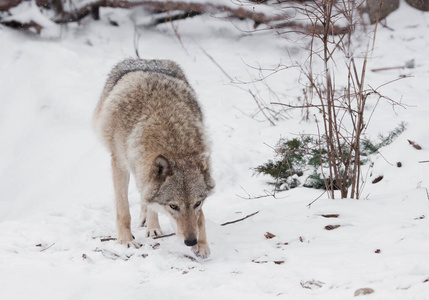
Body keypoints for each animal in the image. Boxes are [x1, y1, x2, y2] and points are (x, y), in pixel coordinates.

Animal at [93, 58, 214, 258]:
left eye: (197, 203)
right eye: (173, 206)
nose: (191, 241)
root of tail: (144, 59)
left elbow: (201, 217)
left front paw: (203, 244)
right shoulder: (119, 163)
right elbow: (123, 211)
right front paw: (125, 241)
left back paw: (152, 226)